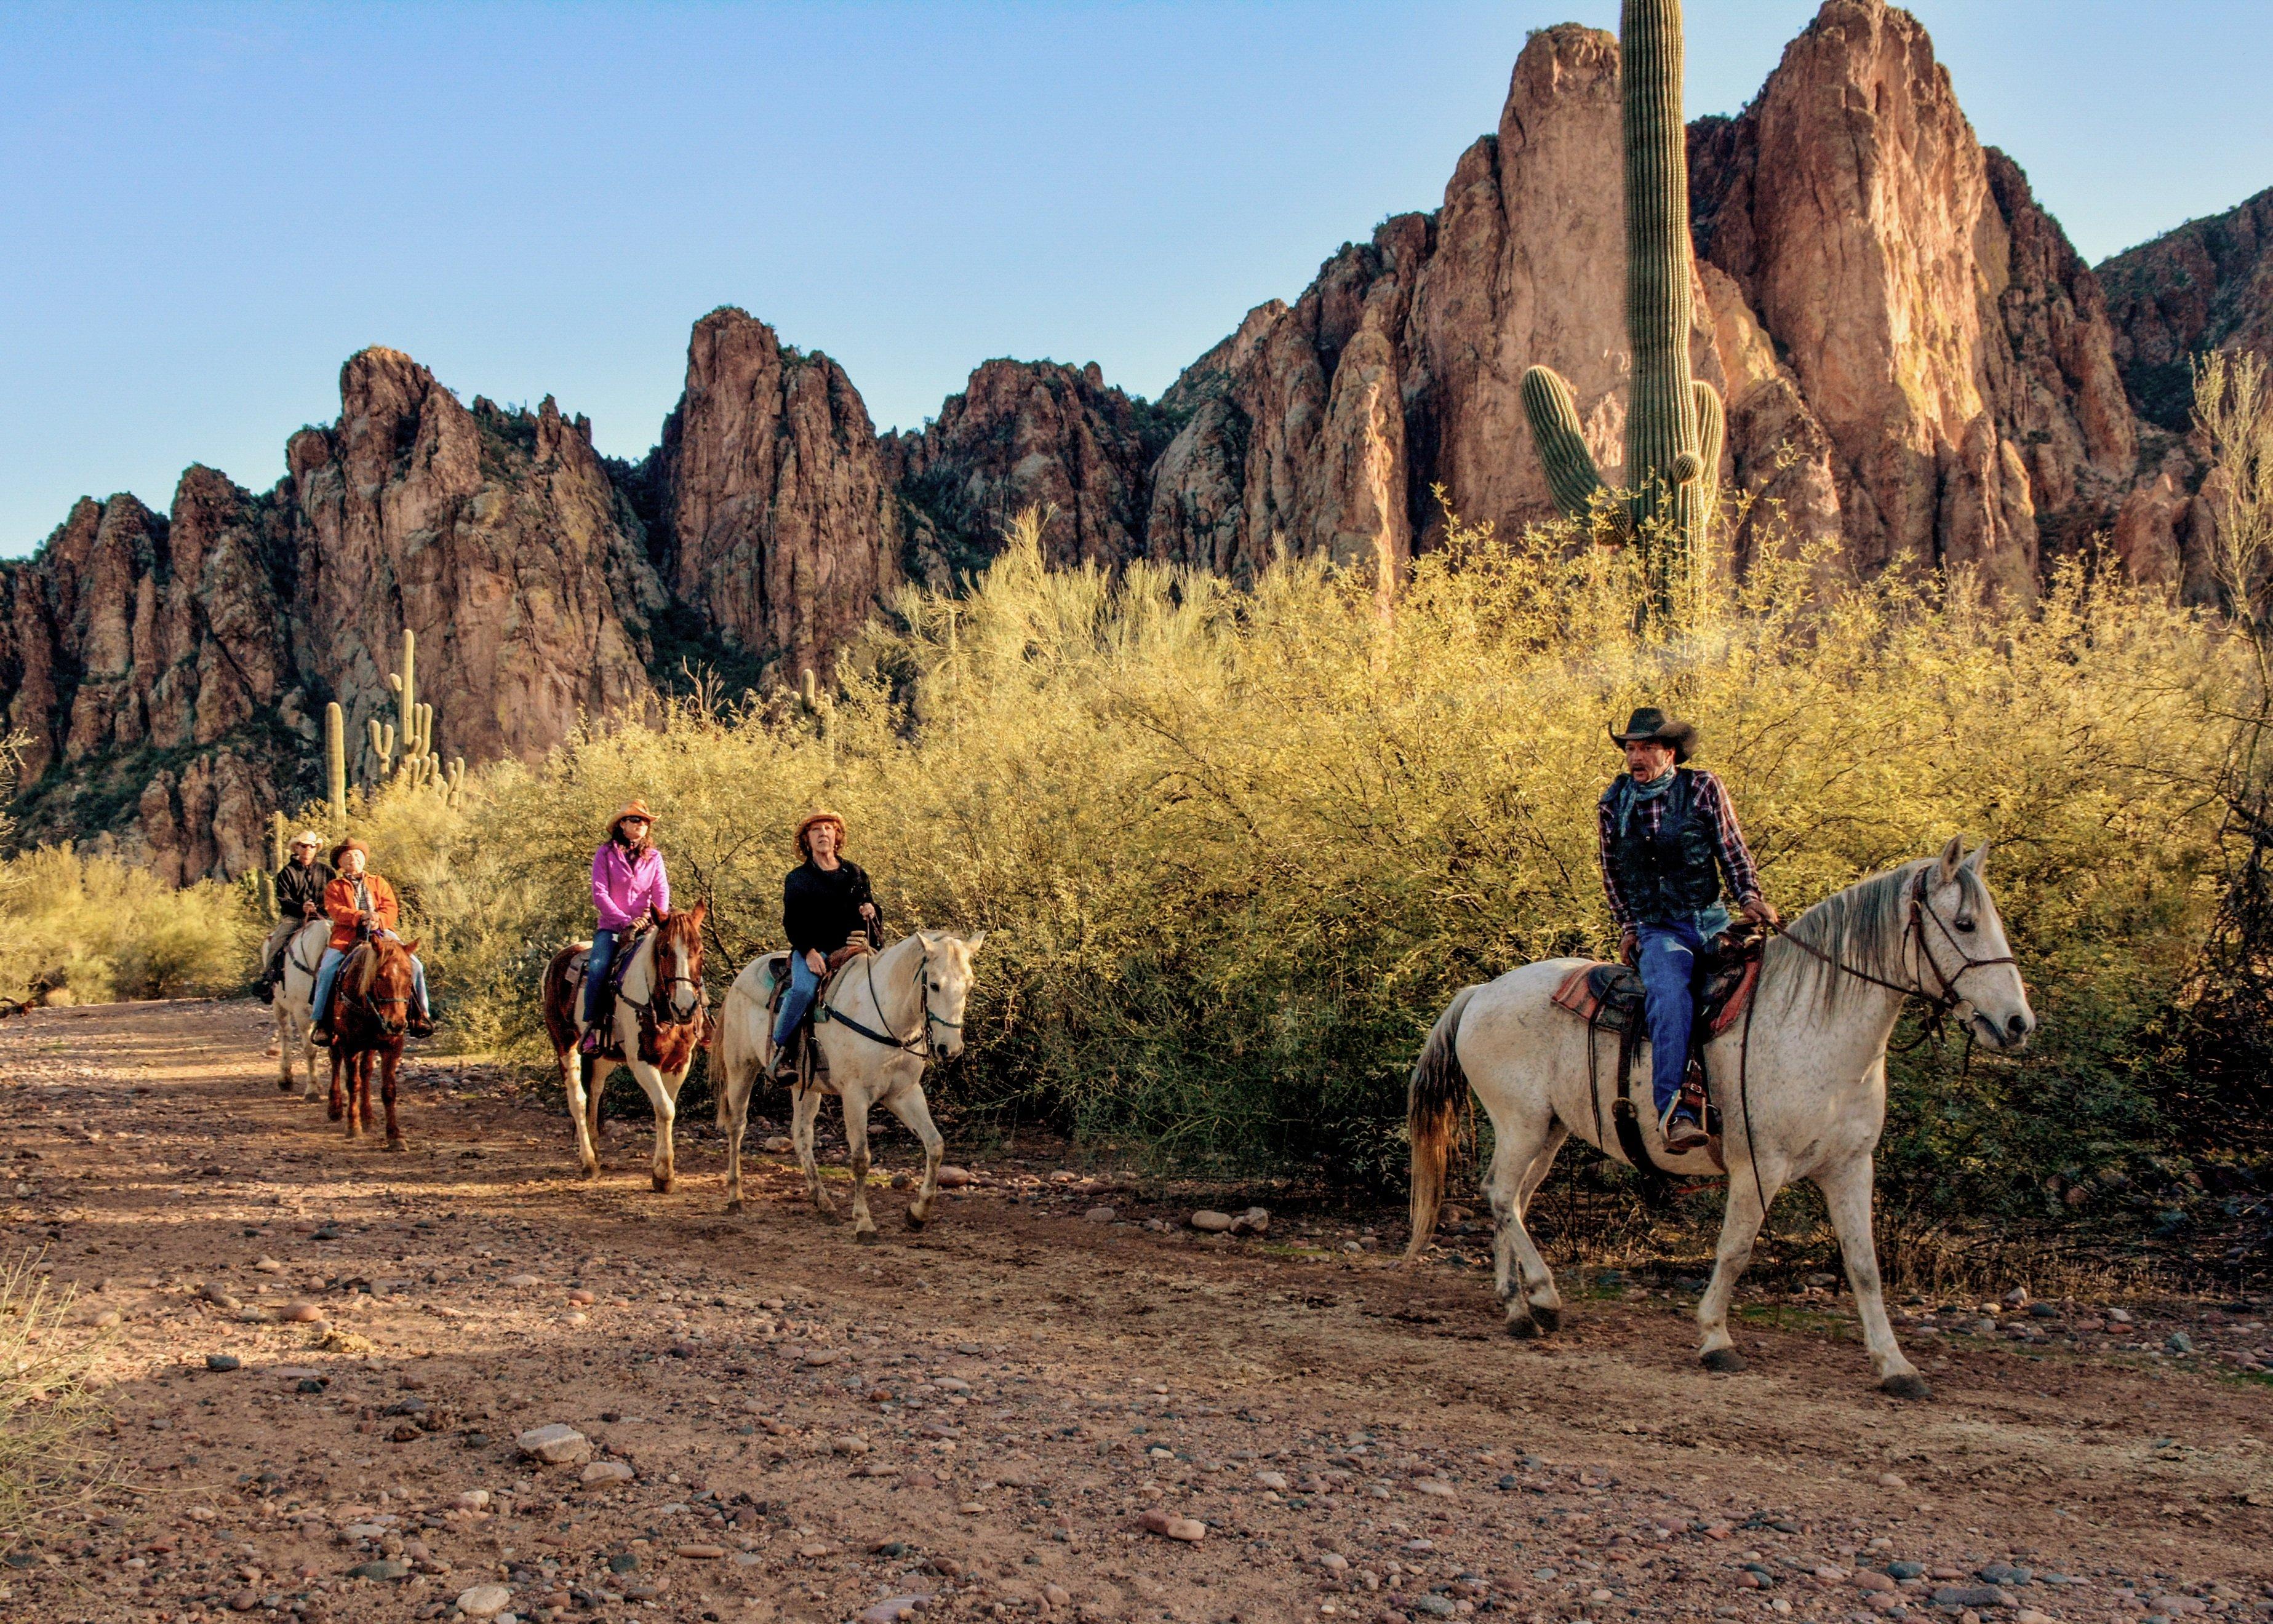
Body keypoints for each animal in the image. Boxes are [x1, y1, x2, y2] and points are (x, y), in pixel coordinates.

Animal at [271, 922, 329, 1099]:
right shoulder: (302, 1012)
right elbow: (310, 1050)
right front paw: (312, 1089)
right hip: (279, 1004)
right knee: (285, 1033)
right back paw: (285, 1079)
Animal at [325, 936, 423, 1149]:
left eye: (409, 976)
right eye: (379, 976)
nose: (396, 1024)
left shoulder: (392, 1048)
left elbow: (389, 1090)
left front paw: (394, 1135)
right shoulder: (350, 1046)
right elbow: (353, 1084)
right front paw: (353, 1127)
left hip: (370, 1046)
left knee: (366, 1071)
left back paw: (368, 1116)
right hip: (336, 1039)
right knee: (336, 1061)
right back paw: (335, 1108)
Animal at [718, 936, 986, 1235]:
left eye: (969, 984)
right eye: (936, 985)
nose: (950, 1049)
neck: (886, 1018)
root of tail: (740, 978)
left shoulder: (904, 1094)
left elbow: (935, 1145)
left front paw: (918, 1213)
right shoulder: (855, 1096)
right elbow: (860, 1158)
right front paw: (864, 1222)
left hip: (806, 1086)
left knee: (801, 1136)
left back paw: (823, 1202)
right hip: (741, 1069)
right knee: (737, 1127)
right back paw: (735, 1197)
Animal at [1409, 840, 2036, 1399]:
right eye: (1964, 923)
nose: (2017, 1024)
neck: (1811, 1022)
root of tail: (1483, 991)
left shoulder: (1851, 1167)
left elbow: (1864, 1265)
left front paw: (1896, 1366)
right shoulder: (1760, 1166)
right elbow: (1735, 1250)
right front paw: (1715, 1339)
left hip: (1549, 1131)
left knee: (1511, 1200)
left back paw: (1516, 1308)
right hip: (1521, 1123)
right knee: (1500, 1197)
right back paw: (1542, 1297)